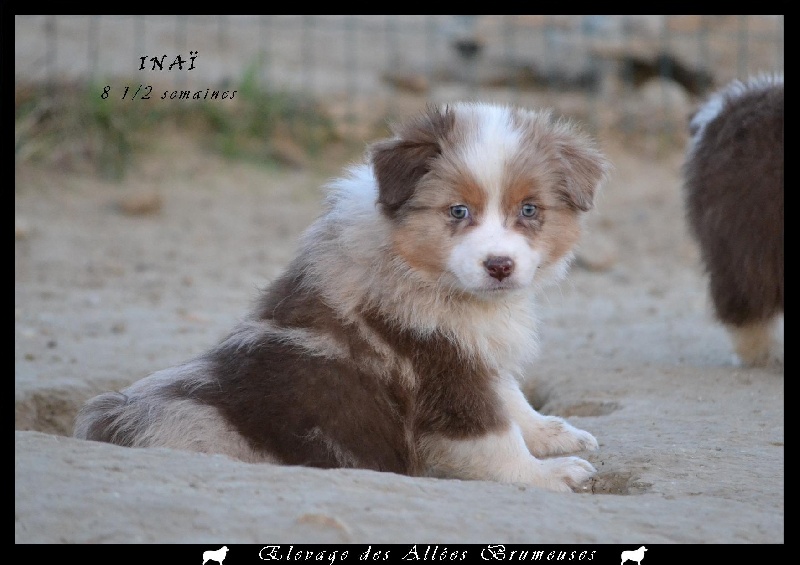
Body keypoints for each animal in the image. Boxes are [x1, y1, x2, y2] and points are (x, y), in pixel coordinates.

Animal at [76, 103, 612, 492]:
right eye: (458, 211)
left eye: (530, 210)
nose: (499, 266)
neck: (414, 267)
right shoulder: (441, 371)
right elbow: (495, 439)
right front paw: (553, 475)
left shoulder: (473, 353)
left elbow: (513, 401)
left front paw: (556, 434)